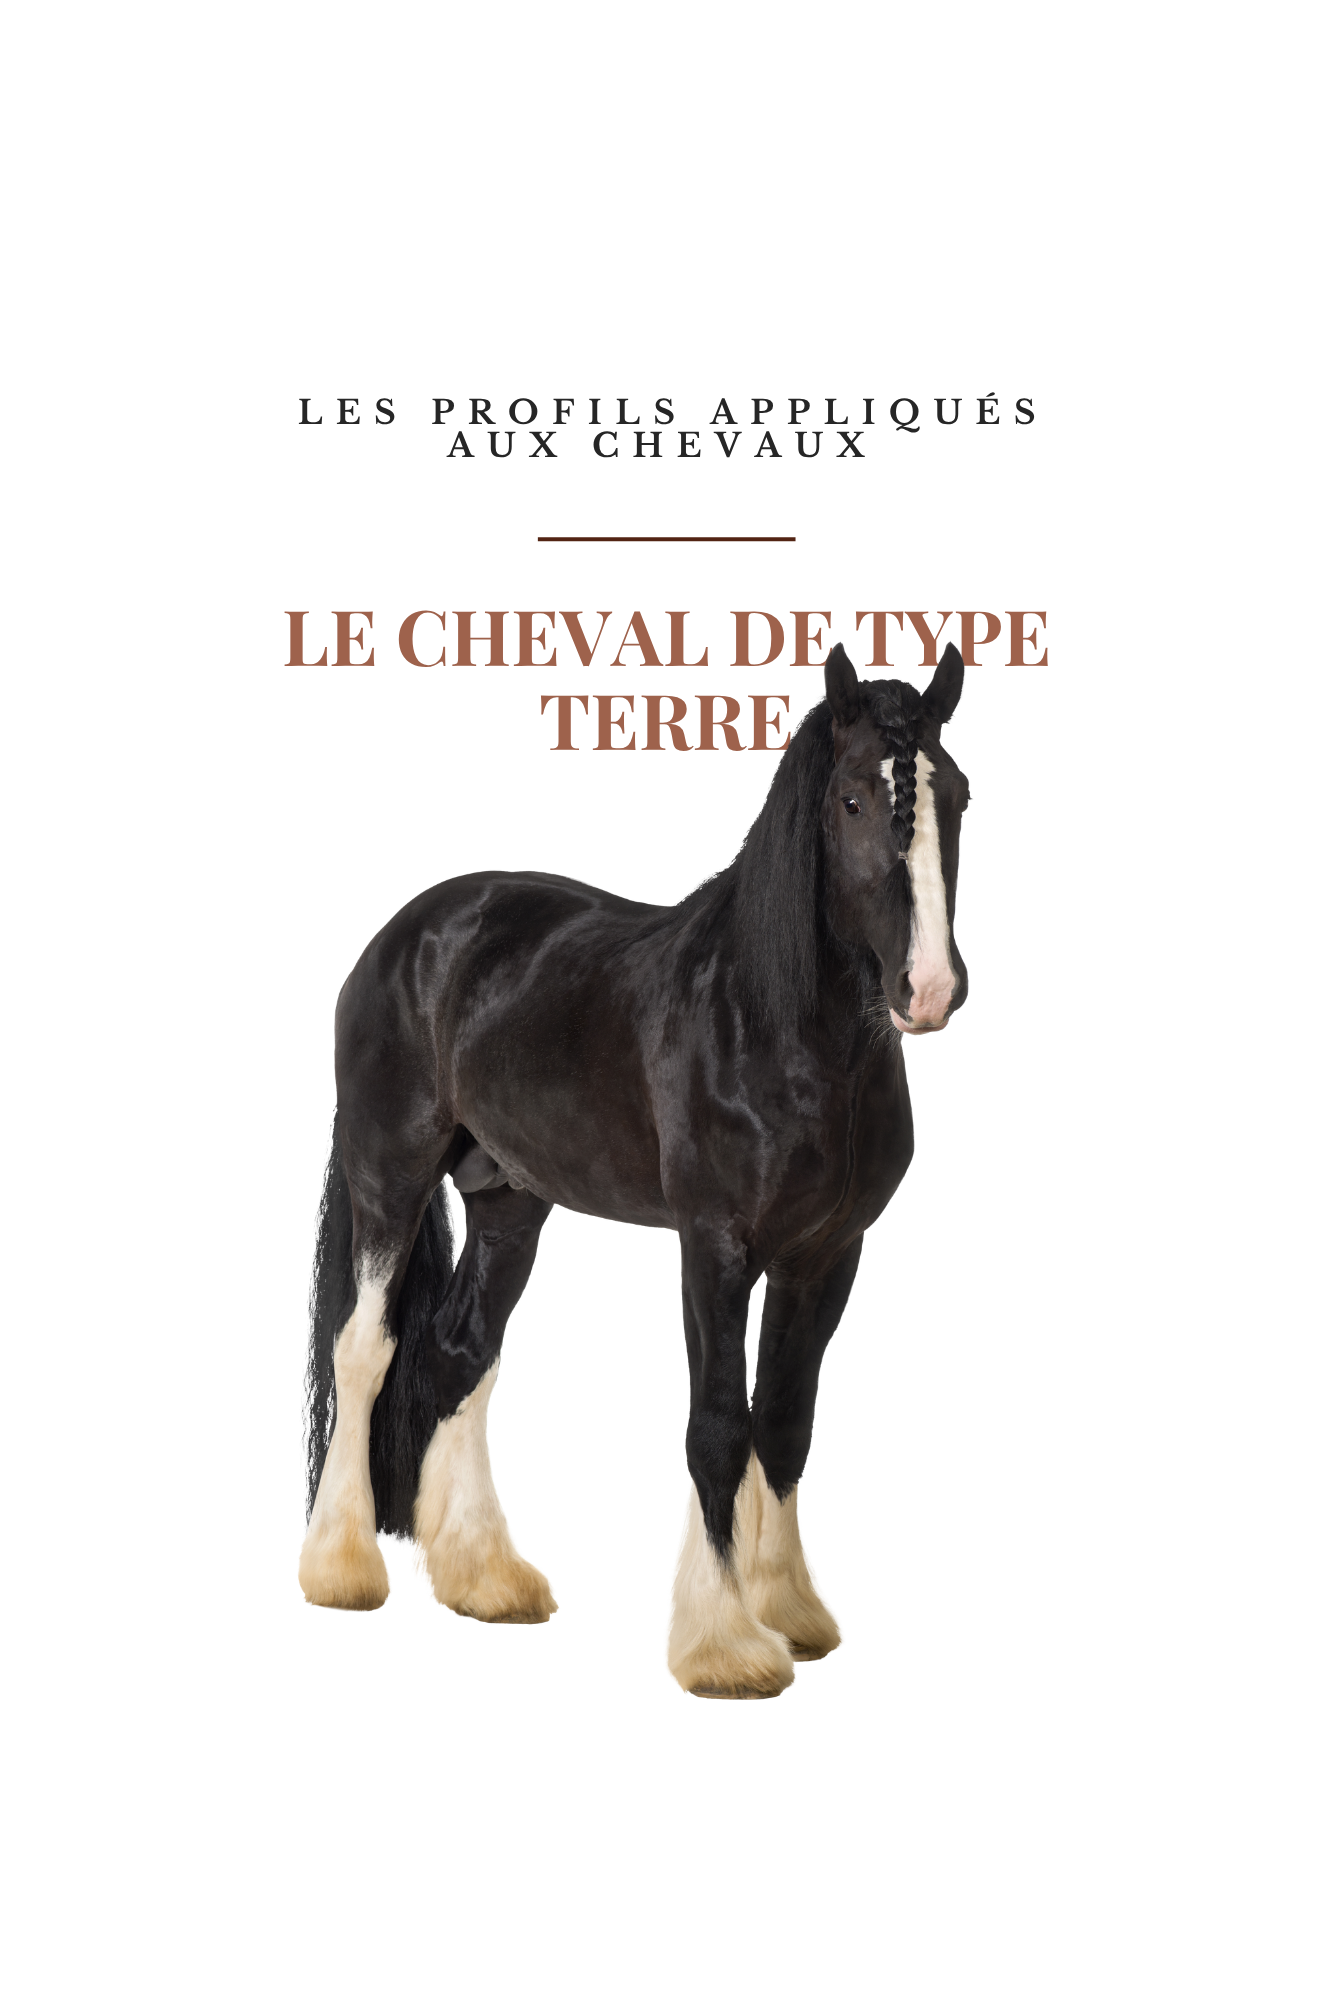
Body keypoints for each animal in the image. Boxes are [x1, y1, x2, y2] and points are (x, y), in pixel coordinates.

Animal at [300, 640, 970, 1698]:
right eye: (855, 800)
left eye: (962, 796)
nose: (930, 990)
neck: (777, 1027)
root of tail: (411, 931)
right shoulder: (715, 1246)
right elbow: (718, 1424)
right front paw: (723, 1644)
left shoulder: (826, 1255)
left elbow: (784, 1420)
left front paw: (789, 1611)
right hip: (387, 1171)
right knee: (365, 1348)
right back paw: (342, 1568)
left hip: (511, 1204)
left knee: (459, 1350)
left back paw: (485, 1579)